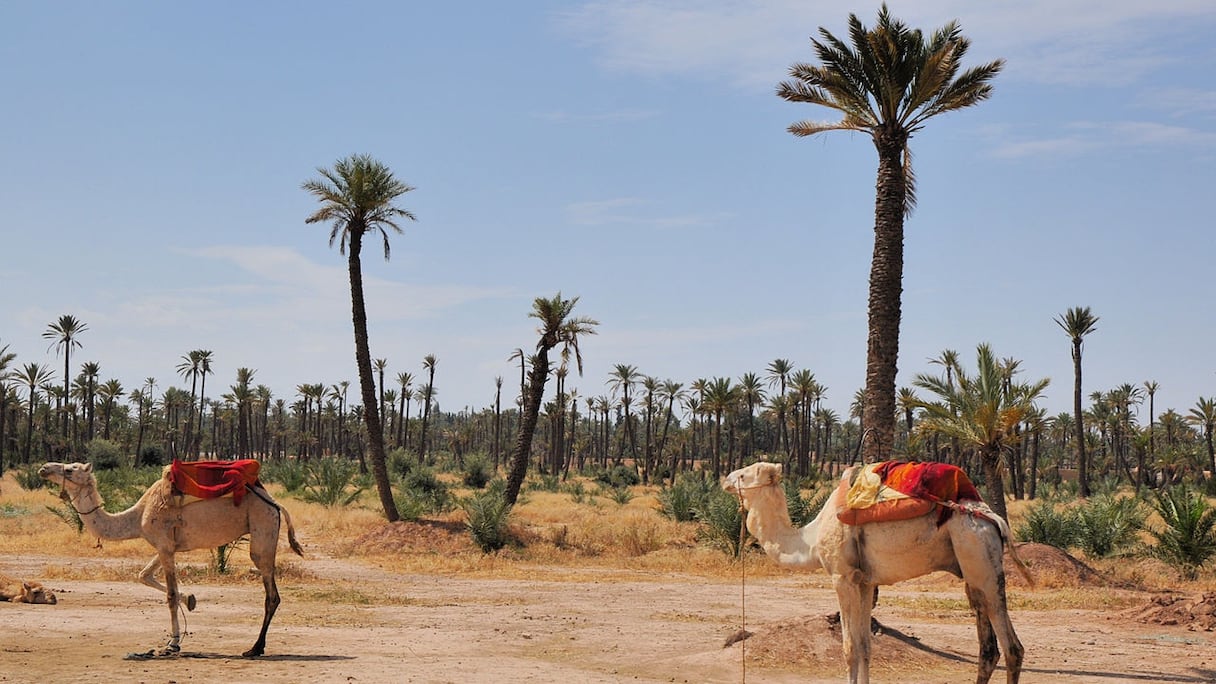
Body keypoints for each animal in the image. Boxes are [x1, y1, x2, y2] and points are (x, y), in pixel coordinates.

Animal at [39, 457, 304, 657]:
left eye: (70, 469)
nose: (43, 468)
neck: (137, 516)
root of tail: (275, 503)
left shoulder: (164, 545)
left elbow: (170, 594)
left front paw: (173, 643)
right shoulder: (165, 547)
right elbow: (144, 575)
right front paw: (191, 600)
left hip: (262, 528)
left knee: (271, 593)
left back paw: (254, 648)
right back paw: (256, 647)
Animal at [724, 457, 1031, 681]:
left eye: (745, 475)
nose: (725, 478)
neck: (809, 539)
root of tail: (993, 520)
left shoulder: (843, 578)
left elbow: (849, 648)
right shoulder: (865, 582)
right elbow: (865, 647)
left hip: (978, 555)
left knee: (1012, 647)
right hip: (974, 567)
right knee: (988, 648)